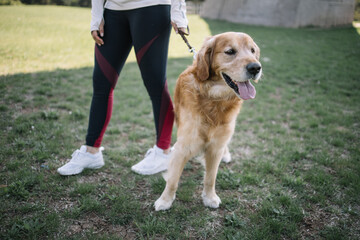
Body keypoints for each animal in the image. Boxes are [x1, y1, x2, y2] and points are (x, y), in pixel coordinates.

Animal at [155, 31, 262, 210]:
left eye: (252, 51)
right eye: (230, 51)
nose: (255, 67)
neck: (214, 99)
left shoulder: (216, 146)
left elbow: (211, 178)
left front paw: (209, 197)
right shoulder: (183, 146)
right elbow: (173, 179)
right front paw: (165, 200)